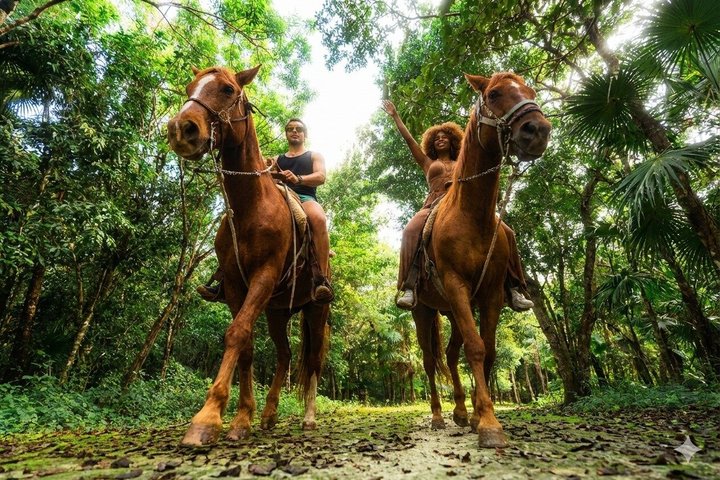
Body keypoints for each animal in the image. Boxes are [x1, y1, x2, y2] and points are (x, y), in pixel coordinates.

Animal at [167, 65, 330, 446]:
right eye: (190, 87)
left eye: (227, 90)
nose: (181, 129)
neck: (250, 206)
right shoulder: (235, 285)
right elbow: (247, 345)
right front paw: (242, 418)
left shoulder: (264, 276)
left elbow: (237, 334)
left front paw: (206, 419)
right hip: (277, 311)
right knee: (285, 355)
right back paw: (269, 415)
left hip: (316, 309)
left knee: (314, 359)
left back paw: (309, 418)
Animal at [412, 72, 550, 448]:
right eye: (494, 94)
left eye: (531, 91)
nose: (538, 129)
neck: (472, 215)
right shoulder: (456, 285)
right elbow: (475, 349)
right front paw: (489, 425)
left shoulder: (490, 294)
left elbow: (487, 350)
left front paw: (476, 416)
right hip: (423, 311)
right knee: (430, 360)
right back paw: (437, 416)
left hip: (451, 310)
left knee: (449, 353)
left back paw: (460, 412)